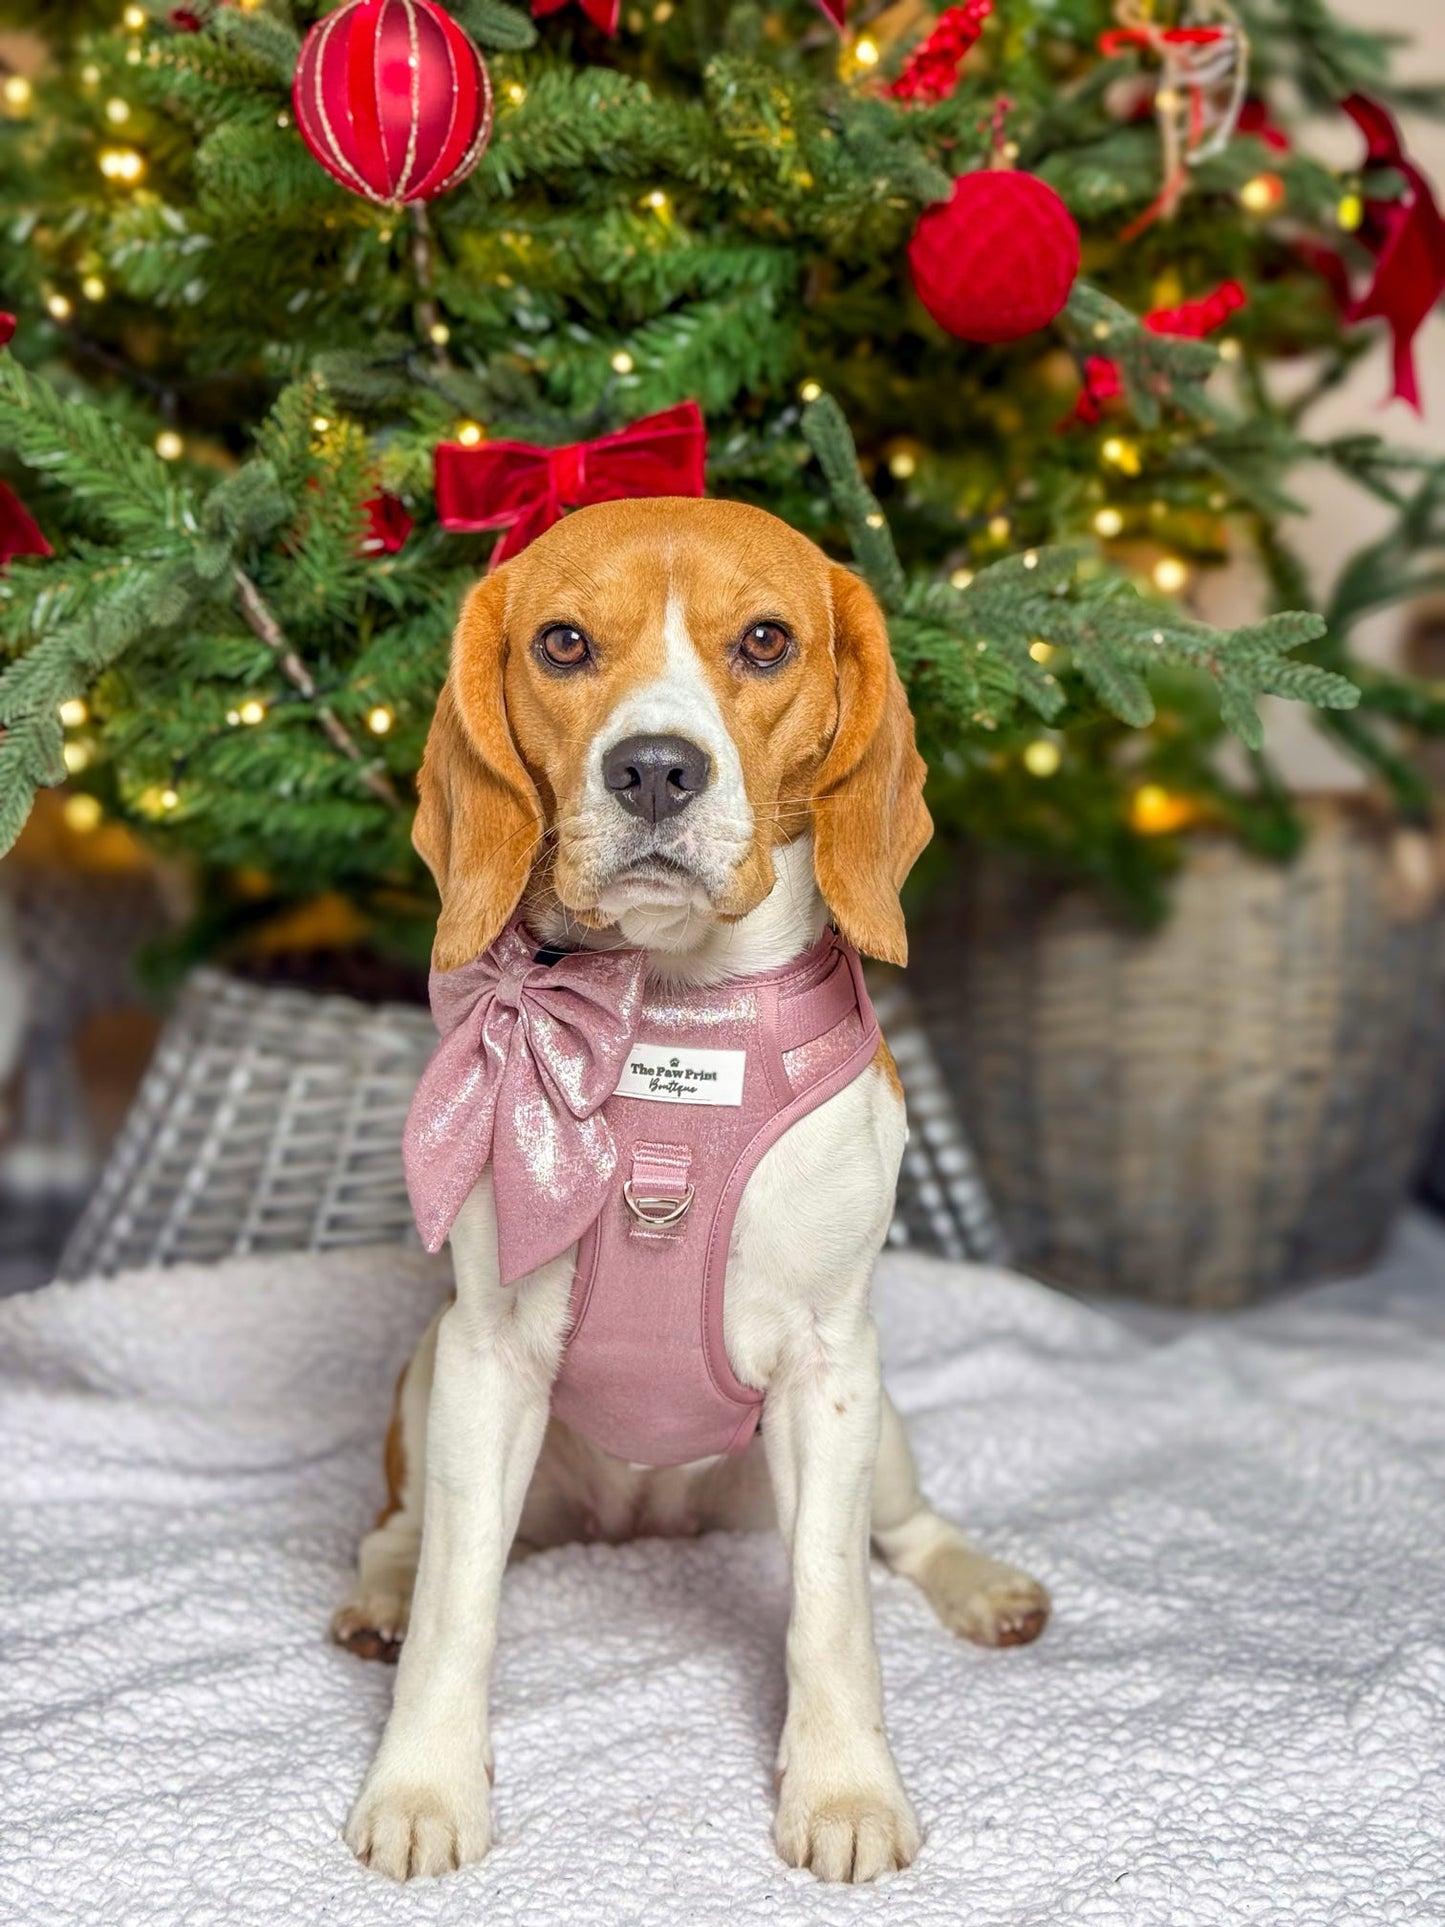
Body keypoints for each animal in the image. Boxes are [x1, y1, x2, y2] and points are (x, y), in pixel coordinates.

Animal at [333, 497, 1048, 1880]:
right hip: (428, 1378)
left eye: (764, 641)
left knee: (901, 1533)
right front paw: (424, 1782)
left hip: (875, 1426)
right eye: (562, 643)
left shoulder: (830, 1367)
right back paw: (381, 1589)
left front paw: (842, 1789)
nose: (655, 769)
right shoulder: (485, 1357)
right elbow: (460, 1606)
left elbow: (829, 1608)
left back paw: (978, 1581)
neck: (663, 1011)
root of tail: (640, 1520)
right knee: (407, 1532)